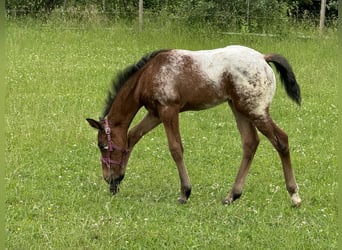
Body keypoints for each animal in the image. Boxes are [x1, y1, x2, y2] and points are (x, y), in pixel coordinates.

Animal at [86, 45, 302, 207]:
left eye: (102, 146)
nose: (107, 178)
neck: (147, 75)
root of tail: (263, 58)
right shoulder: (155, 114)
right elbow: (132, 136)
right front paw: (118, 180)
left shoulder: (168, 110)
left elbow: (175, 148)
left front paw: (185, 192)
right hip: (238, 108)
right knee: (250, 143)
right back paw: (232, 195)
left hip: (255, 111)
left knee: (281, 140)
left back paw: (294, 196)